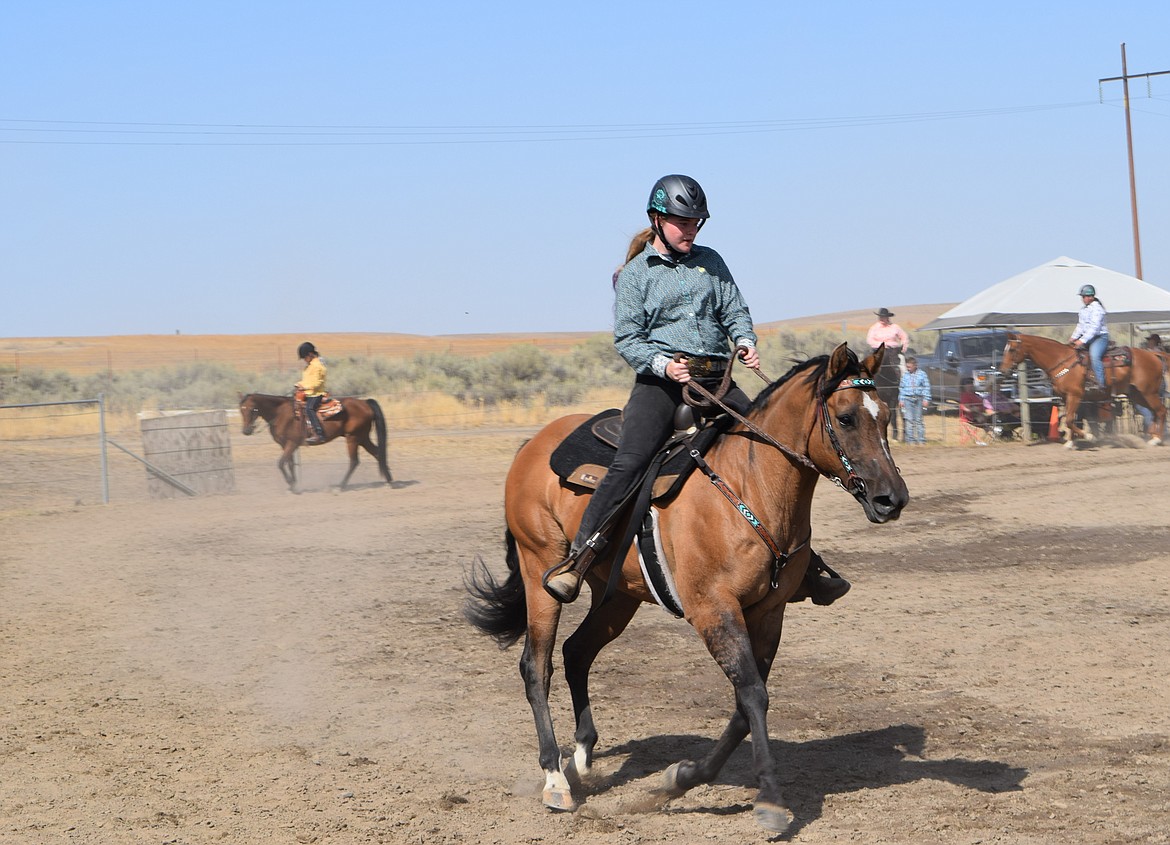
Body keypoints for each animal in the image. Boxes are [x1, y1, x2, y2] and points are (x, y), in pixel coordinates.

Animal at [237, 393, 393, 491]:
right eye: (241, 410)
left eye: (252, 409)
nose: (246, 431)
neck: (280, 413)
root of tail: (364, 402)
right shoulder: (285, 444)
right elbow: (290, 464)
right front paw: (294, 486)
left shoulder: (292, 443)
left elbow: (281, 463)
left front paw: (291, 483)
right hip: (362, 437)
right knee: (378, 453)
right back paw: (389, 481)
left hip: (353, 437)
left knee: (354, 461)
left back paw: (341, 486)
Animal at [460, 341, 907, 828]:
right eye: (845, 418)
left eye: (886, 415)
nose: (893, 499)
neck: (750, 485)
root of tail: (533, 444)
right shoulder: (713, 609)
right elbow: (753, 694)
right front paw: (769, 798)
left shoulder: (768, 613)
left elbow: (745, 703)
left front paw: (681, 779)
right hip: (538, 569)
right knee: (536, 667)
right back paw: (555, 779)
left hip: (617, 594)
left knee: (577, 651)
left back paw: (580, 760)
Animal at [996, 330, 1170, 447]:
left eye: (1012, 349)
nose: (1003, 371)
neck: (1061, 360)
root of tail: (1154, 355)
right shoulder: (1065, 397)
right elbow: (1070, 419)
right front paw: (1071, 441)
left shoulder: (1075, 395)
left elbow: (1070, 419)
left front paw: (1087, 436)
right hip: (1137, 394)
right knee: (1155, 412)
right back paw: (1153, 436)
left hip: (1149, 392)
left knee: (1161, 411)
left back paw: (1157, 439)